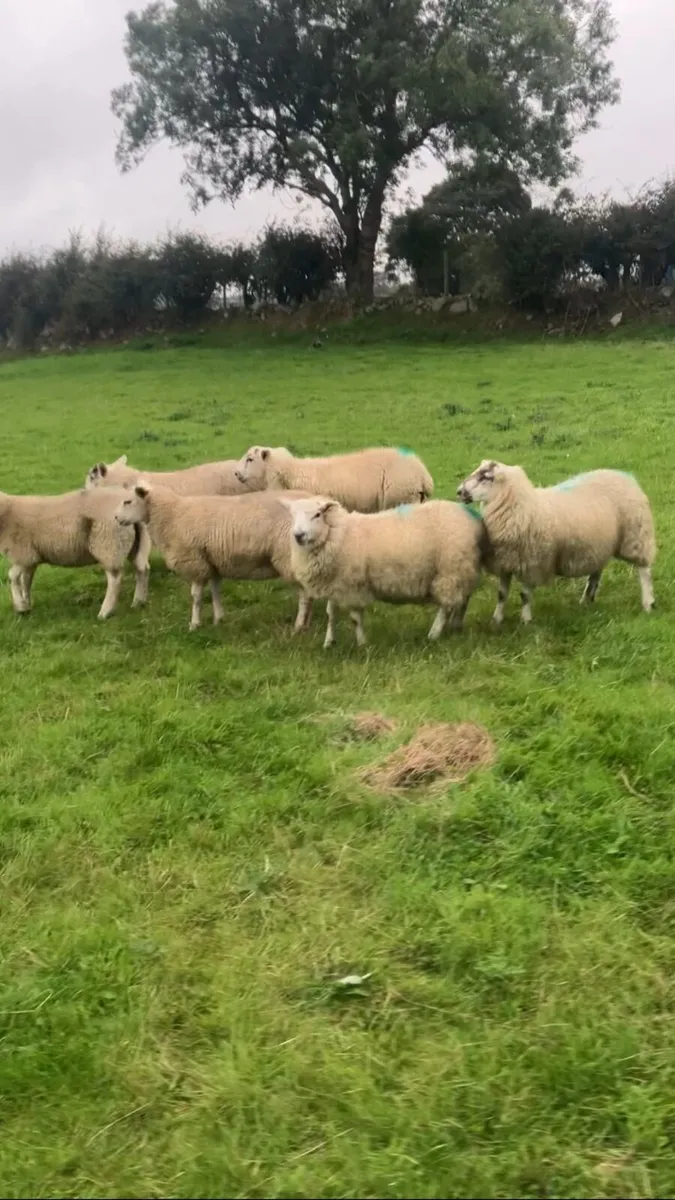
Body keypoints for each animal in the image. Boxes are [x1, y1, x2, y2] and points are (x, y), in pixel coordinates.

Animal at [0, 486, 151, 619]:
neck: (7, 513)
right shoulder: (30, 557)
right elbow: (26, 580)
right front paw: (26, 605)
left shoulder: (23, 554)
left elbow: (12, 576)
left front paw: (20, 607)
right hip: (134, 545)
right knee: (142, 569)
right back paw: (138, 602)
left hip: (108, 544)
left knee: (115, 578)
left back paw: (105, 612)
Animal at [114, 484, 316, 632]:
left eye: (128, 501)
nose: (115, 518)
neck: (173, 515)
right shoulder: (213, 563)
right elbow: (215, 591)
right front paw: (219, 619)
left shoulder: (194, 563)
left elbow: (196, 597)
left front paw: (194, 625)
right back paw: (306, 623)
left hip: (291, 559)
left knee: (304, 594)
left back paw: (299, 626)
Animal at [281, 495, 484, 648]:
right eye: (292, 516)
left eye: (317, 515)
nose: (298, 535)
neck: (339, 535)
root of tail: (470, 515)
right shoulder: (336, 583)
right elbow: (331, 614)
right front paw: (329, 643)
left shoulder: (352, 585)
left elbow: (355, 618)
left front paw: (362, 644)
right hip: (458, 571)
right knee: (460, 601)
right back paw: (454, 627)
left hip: (450, 570)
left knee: (446, 606)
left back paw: (433, 634)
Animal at [456, 460, 656, 624]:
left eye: (486, 477)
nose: (459, 492)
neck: (521, 505)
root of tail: (624, 475)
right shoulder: (507, 561)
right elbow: (501, 595)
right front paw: (496, 620)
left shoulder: (531, 562)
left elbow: (525, 595)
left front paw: (525, 621)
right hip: (599, 544)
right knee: (596, 572)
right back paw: (587, 600)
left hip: (635, 535)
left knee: (644, 570)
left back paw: (648, 603)